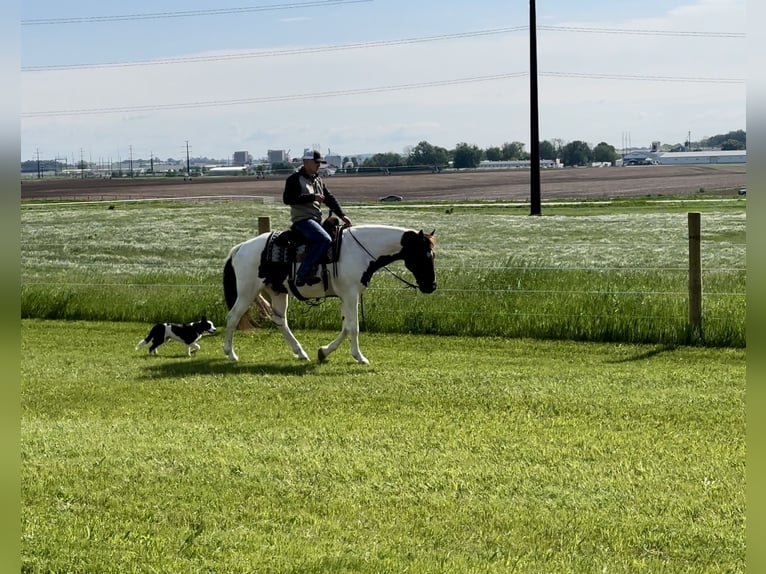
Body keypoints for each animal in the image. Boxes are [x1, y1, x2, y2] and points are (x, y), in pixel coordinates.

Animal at [222, 225, 438, 364]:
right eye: (425, 255)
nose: (431, 286)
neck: (360, 251)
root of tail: (240, 248)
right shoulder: (351, 295)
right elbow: (353, 327)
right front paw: (360, 357)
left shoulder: (346, 296)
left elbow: (346, 326)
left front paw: (323, 352)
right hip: (247, 292)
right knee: (233, 317)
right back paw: (230, 354)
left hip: (278, 292)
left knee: (280, 321)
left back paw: (301, 352)